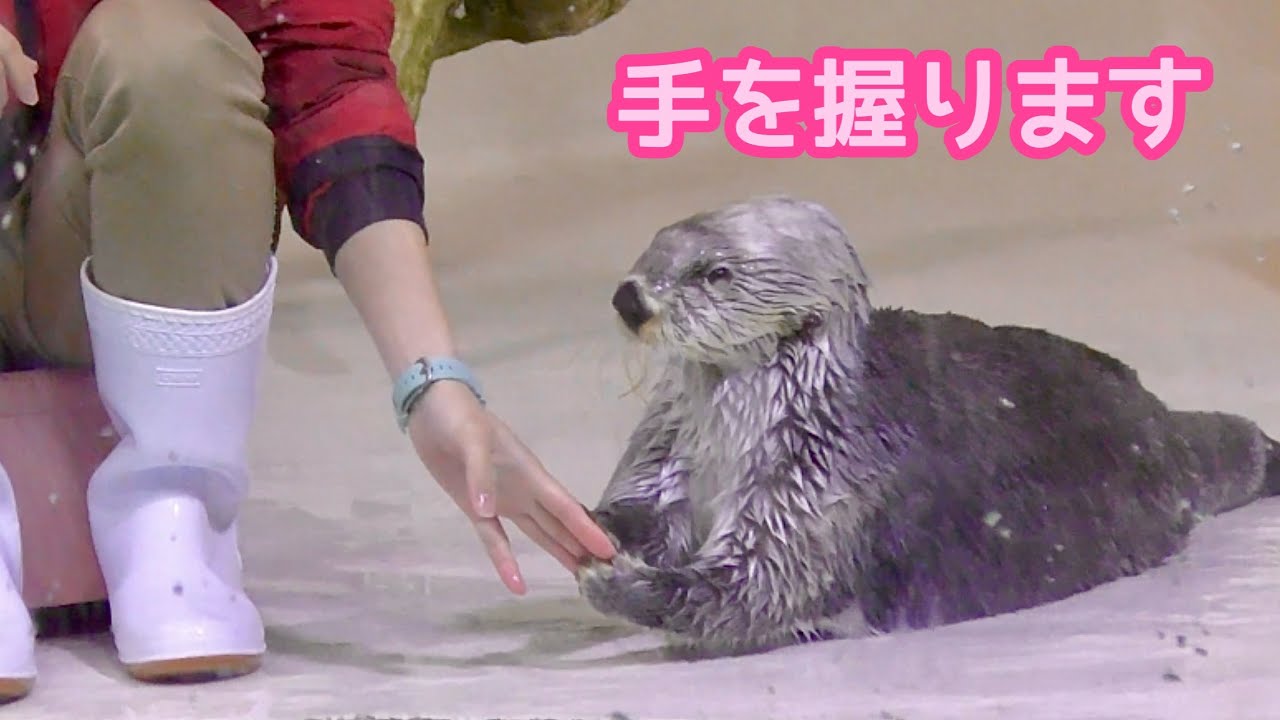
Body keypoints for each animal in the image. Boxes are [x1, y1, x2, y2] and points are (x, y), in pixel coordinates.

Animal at [576, 195, 1280, 658]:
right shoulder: (667, 440)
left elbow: (759, 581)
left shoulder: (824, 472)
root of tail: (1156, 419)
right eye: (653, 247)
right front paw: (595, 524)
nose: (629, 298)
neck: (729, 432)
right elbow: (650, 513)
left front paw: (622, 582)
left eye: (714, 273)